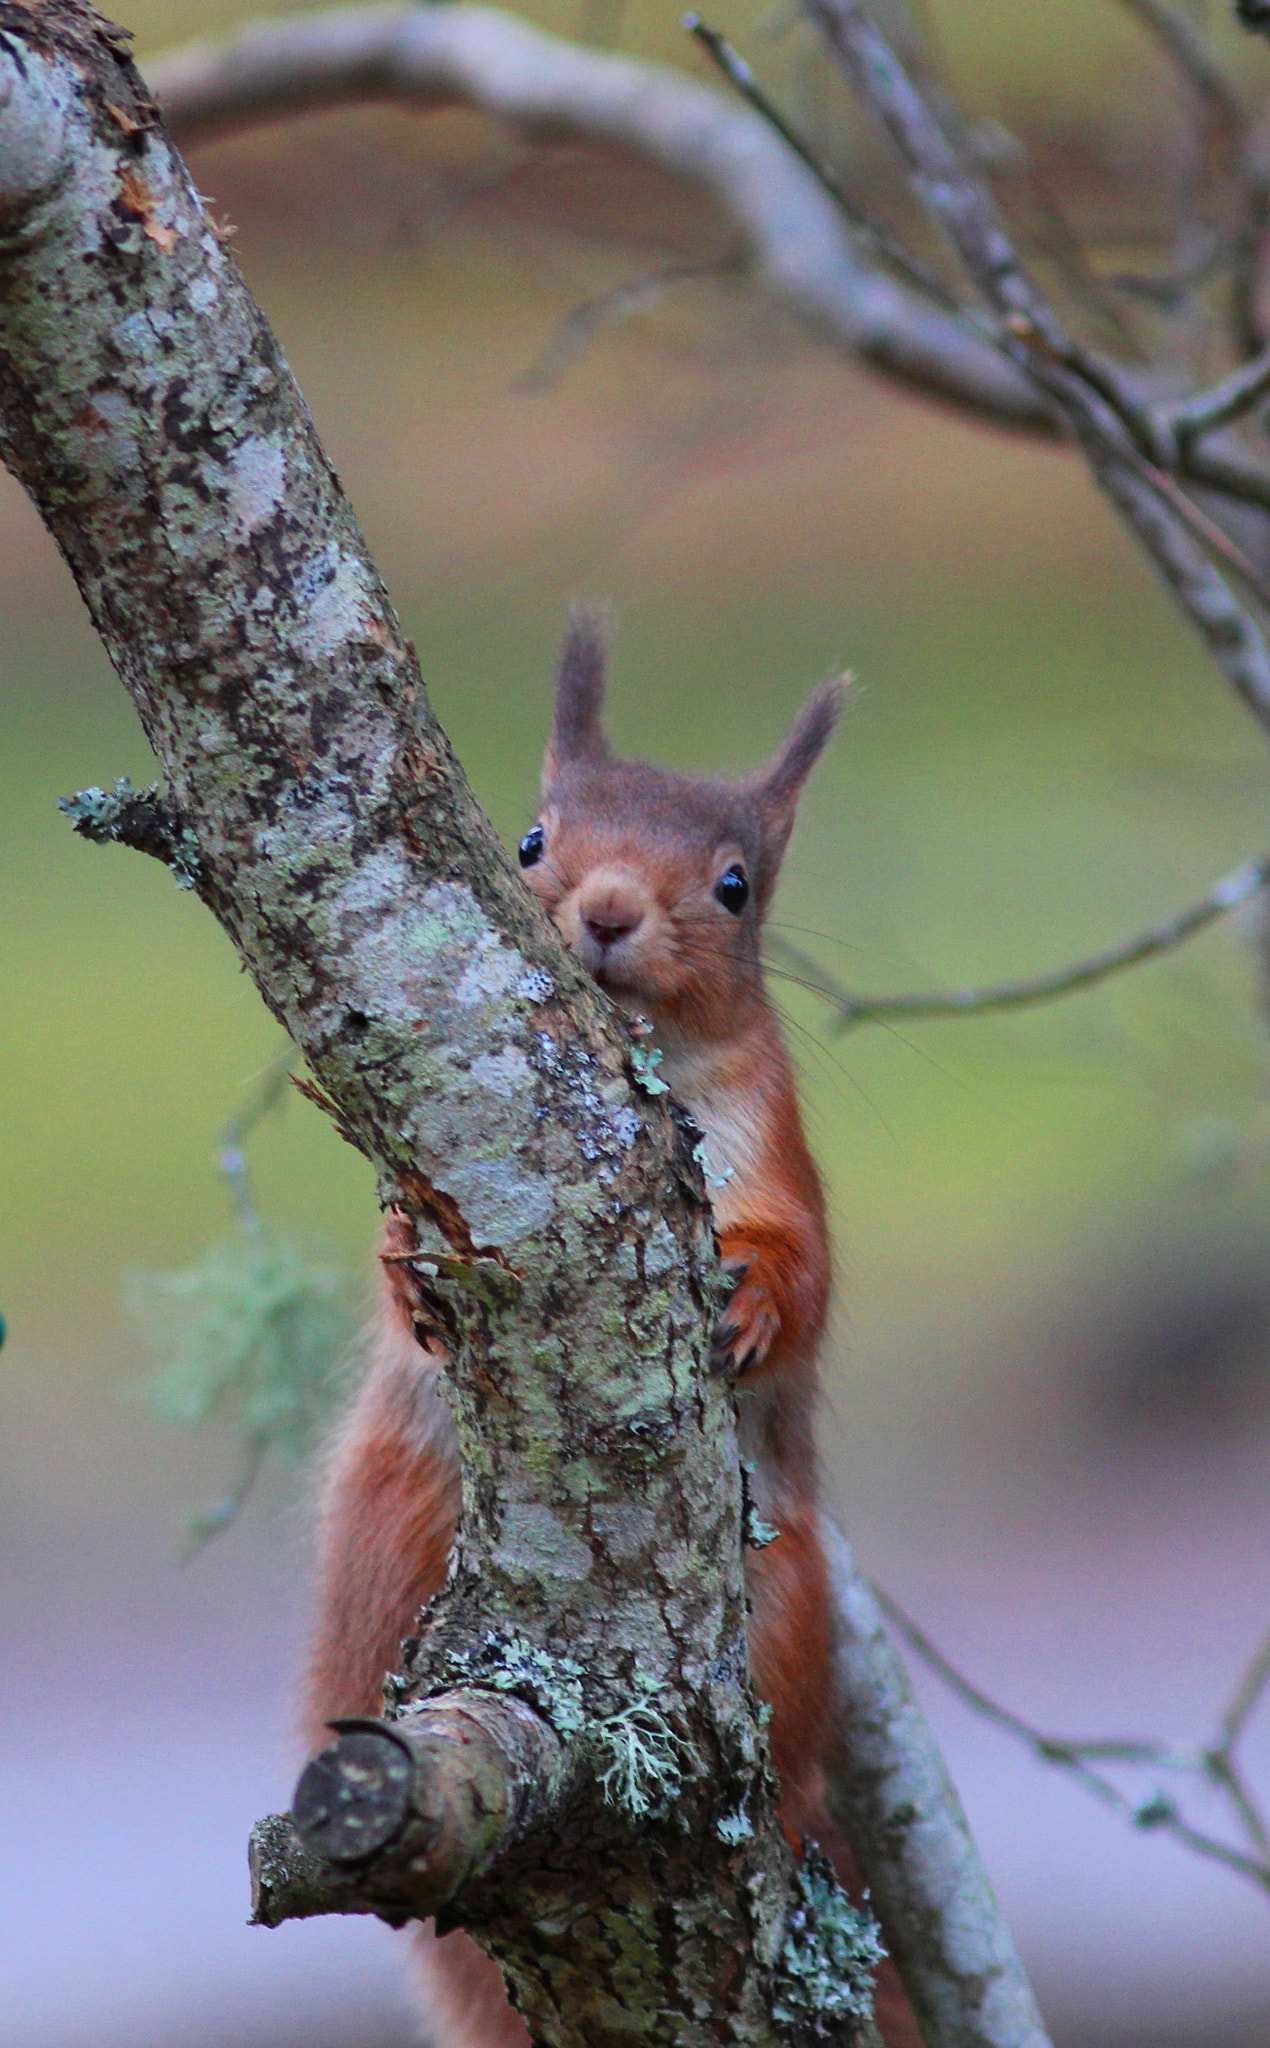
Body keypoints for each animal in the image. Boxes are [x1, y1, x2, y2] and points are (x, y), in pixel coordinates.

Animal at [304, 613, 920, 2048]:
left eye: (736, 884)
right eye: (531, 840)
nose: (604, 910)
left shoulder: (776, 1148)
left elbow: (808, 1271)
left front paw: (751, 1298)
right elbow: (394, 1254)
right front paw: (407, 1264)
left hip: (783, 1618)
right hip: (386, 1534)